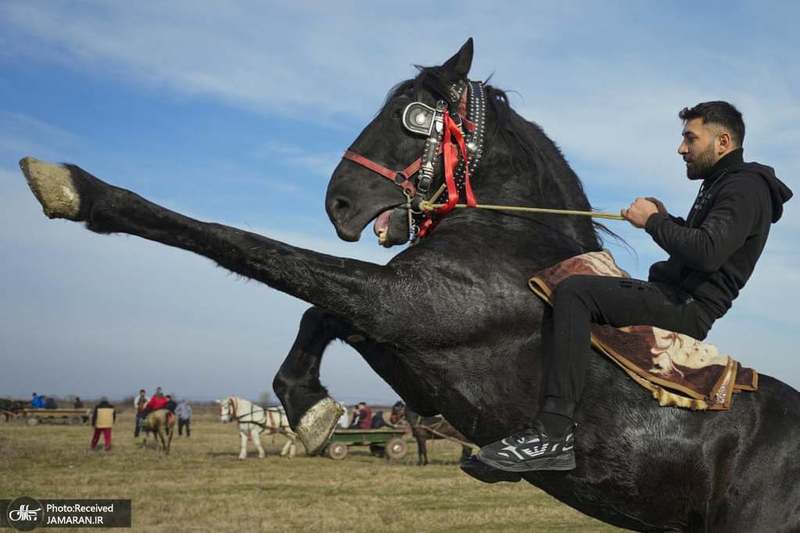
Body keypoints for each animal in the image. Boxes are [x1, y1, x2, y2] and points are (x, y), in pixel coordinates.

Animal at [20, 39, 800, 528]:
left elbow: (249, 248)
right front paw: (309, 407)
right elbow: (315, 308)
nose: (337, 202)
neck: (509, 237)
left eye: (413, 117)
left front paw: (76, 188)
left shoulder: (405, 308)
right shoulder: (394, 320)